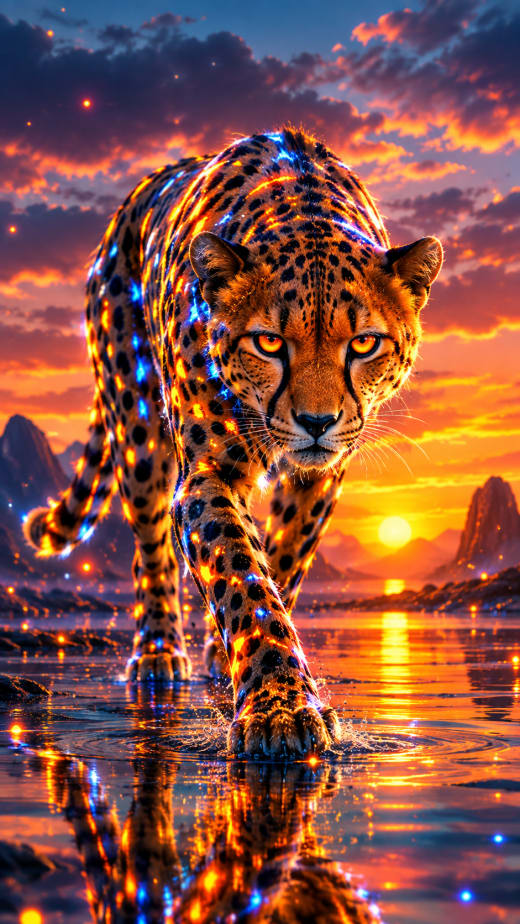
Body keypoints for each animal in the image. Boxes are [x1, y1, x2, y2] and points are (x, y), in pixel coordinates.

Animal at [24, 126, 443, 760]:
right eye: (268, 342)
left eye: (364, 343)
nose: (316, 421)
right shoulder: (207, 474)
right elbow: (241, 576)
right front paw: (279, 709)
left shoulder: (320, 478)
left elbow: (281, 563)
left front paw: (252, 677)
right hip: (137, 426)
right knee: (150, 548)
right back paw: (157, 655)